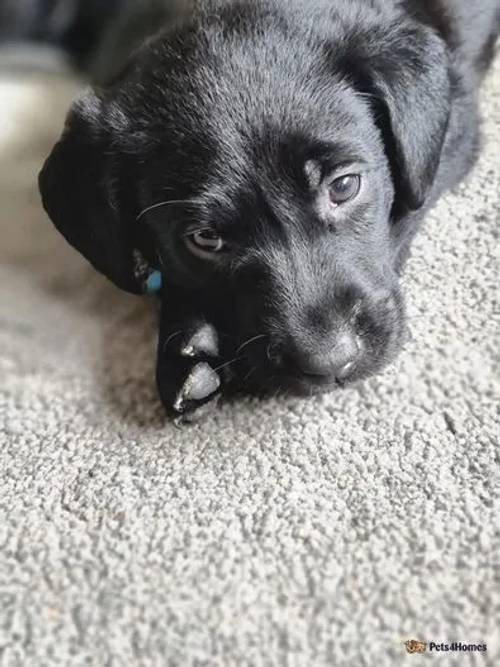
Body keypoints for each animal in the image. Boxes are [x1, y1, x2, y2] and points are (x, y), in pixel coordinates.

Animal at [39, 1, 500, 422]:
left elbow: (405, 210)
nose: (332, 364)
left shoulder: (455, 132)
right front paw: (189, 344)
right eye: (205, 238)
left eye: (344, 186)